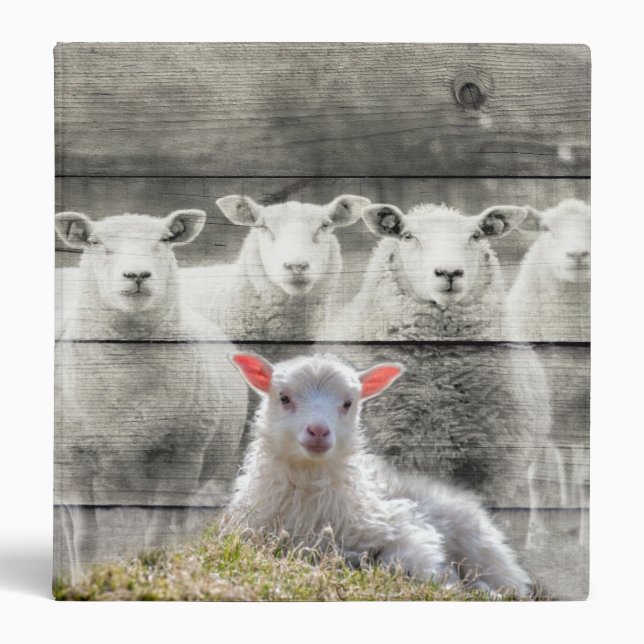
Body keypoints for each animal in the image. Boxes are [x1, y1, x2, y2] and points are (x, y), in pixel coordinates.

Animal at [54, 209, 248, 578]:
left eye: (164, 240)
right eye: (96, 243)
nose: (137, 275)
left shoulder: (181, 458)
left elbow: (156, 535)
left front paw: (154, 572)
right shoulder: (73, 461)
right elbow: (85, 539)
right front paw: (84, 580)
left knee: (179, 523)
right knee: (69, 530)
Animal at [225, 352, 531, 596]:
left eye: (348, 403)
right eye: (284, 397)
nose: (318, 431)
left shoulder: (406, 528)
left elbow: (406, 562)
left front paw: (448, 583)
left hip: (483, 550)